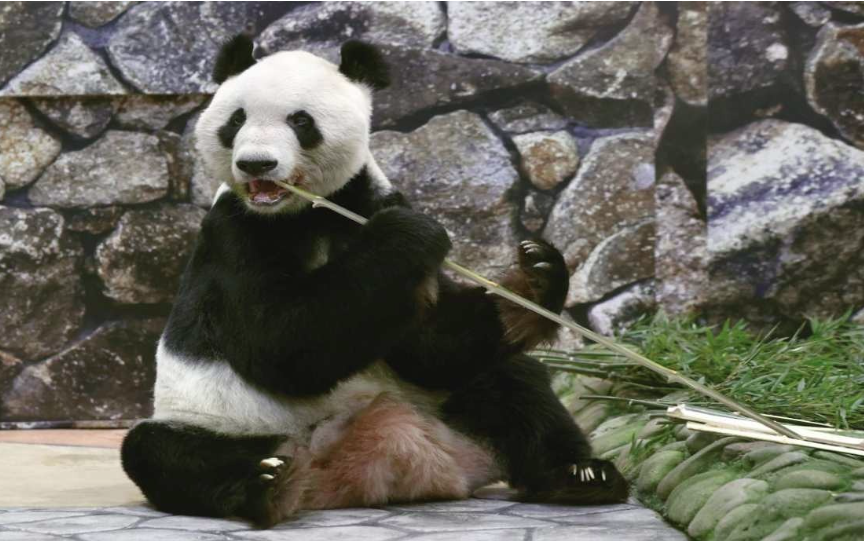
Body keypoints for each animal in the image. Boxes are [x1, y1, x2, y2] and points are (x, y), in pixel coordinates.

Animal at [121, 35, 628, 527]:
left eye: (300, 121)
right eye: (236, 119)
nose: (256, 165)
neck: (308, 211)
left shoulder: (368, 203)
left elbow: (432, 345)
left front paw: (535, 278)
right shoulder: (236, 233)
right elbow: (277, 342)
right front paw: (409, 232)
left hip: (442, 403)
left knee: (514, 385)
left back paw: (580, 477)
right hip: (224, 422)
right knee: (163, 453)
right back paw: (267, 484)